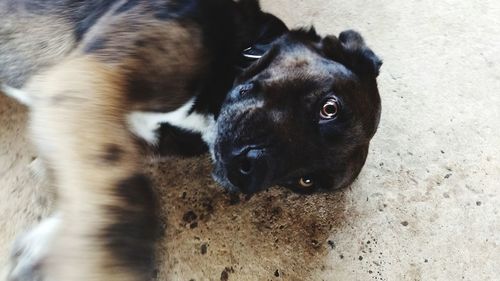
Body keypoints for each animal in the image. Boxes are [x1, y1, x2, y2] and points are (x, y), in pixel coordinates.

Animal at [0, 0, 382, 278]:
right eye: (329, 108)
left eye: (305, 182)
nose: (250, 171)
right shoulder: (88, 79)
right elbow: (132, 198)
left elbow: (105, 188)